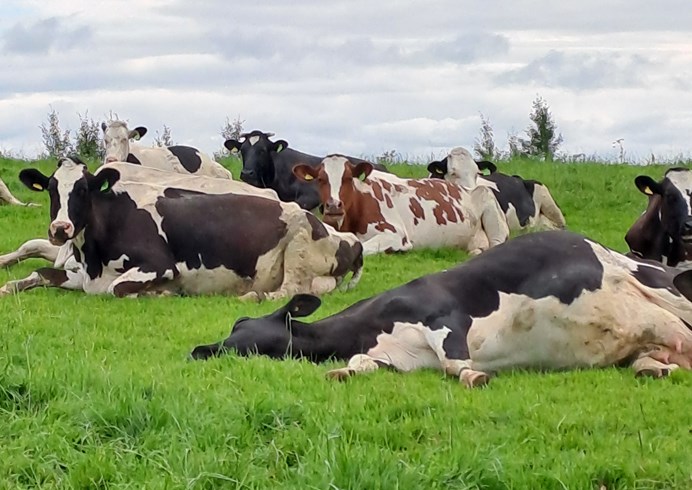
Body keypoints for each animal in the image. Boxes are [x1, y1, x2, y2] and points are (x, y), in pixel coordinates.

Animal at [0, 159, 363, 299]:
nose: (61, 228)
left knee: (288, 290)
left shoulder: (160, 265)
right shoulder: (82, 276)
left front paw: (159, 292)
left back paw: (251, 296)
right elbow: (43, 273)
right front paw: (8, 285)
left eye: (84, 190)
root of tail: (350, 240)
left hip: (299, 243)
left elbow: (117, 287)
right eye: (51, 189)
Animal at [191, 230, 692, 387]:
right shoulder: (391, 357)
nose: (201, 349)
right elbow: (362, 365)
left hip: (666, 290)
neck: (371, 326)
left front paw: (475, 375)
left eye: (243, 335)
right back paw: (655, 367)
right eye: (234, 325)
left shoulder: (443, 316)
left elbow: (455, 362)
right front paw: (343, 371)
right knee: (656, 355)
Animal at [292, 155, 509, 255]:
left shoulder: (395, 234)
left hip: (489, 204)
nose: (334, 205)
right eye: (320, 179)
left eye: (347, 178)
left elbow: (364, 246)